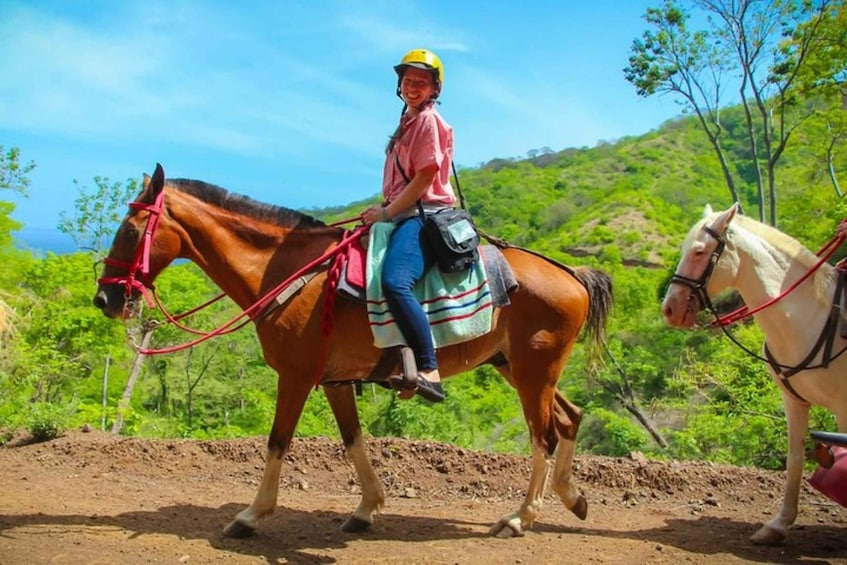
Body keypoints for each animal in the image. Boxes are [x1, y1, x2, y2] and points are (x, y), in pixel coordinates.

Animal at [93, 163, 612, 536]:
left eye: (131, 231)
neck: (293, 272)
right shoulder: (335, 380)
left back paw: (520, 517)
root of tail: (571, 274)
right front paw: (366, 509)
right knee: (570, 418)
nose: (105, 299)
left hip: (532, 370)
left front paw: (251, 515)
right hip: (518, 367)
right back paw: (573, 499)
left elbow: (278, 442)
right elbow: (353, 440)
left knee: (544, 436)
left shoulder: (297, 376)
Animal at [664, 203, 847, 540]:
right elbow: (795, 457)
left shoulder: (843, 406)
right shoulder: (794, 401)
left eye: (699, 251)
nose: (669, 308)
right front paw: (778, 525)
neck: (813, 317)